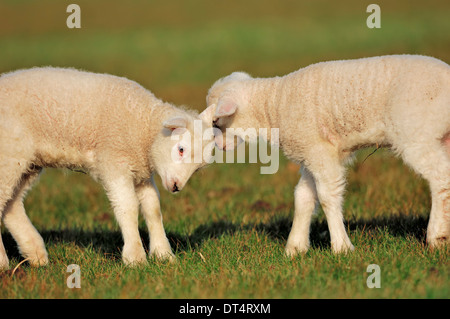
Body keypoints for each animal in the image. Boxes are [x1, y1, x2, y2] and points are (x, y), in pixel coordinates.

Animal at [0, 67, 216, 270]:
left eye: (198, 168)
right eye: (181, 149)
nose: (176, 186)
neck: (143, 127)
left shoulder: (141, 173)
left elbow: (153, 208)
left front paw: (163, 255)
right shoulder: (115, 162)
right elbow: (128, 208)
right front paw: (135, 258)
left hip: (27, 162)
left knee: (12, 205)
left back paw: (36, 255)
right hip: (9, 155)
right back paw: (4, 263)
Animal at [205, 54, 450, 255]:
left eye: (216, 122)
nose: (218, 146)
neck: (273, 106)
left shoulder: (319, 152)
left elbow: (326, 196)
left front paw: (341, 247)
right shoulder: (308, 156)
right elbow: (303, 197)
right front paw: (295, 248)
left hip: (416, 133)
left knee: (441, 176)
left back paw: (437, 237)